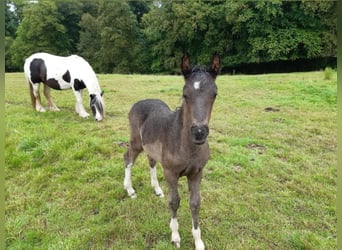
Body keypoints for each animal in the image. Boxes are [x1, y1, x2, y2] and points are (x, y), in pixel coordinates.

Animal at [124, 53, 220, 250]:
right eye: (185, 94)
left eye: (214, 94)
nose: (199, 132)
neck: (187, 146)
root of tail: (139, 102)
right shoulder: (170, 172)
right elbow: (174, 202)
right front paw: (175, 236)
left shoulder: (197, 173)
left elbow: (195, 203)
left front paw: (198, 241)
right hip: (136, 143)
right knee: (128, 159)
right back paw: (129, 190)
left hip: (150, 147)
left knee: (151, 161)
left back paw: (157, 189)